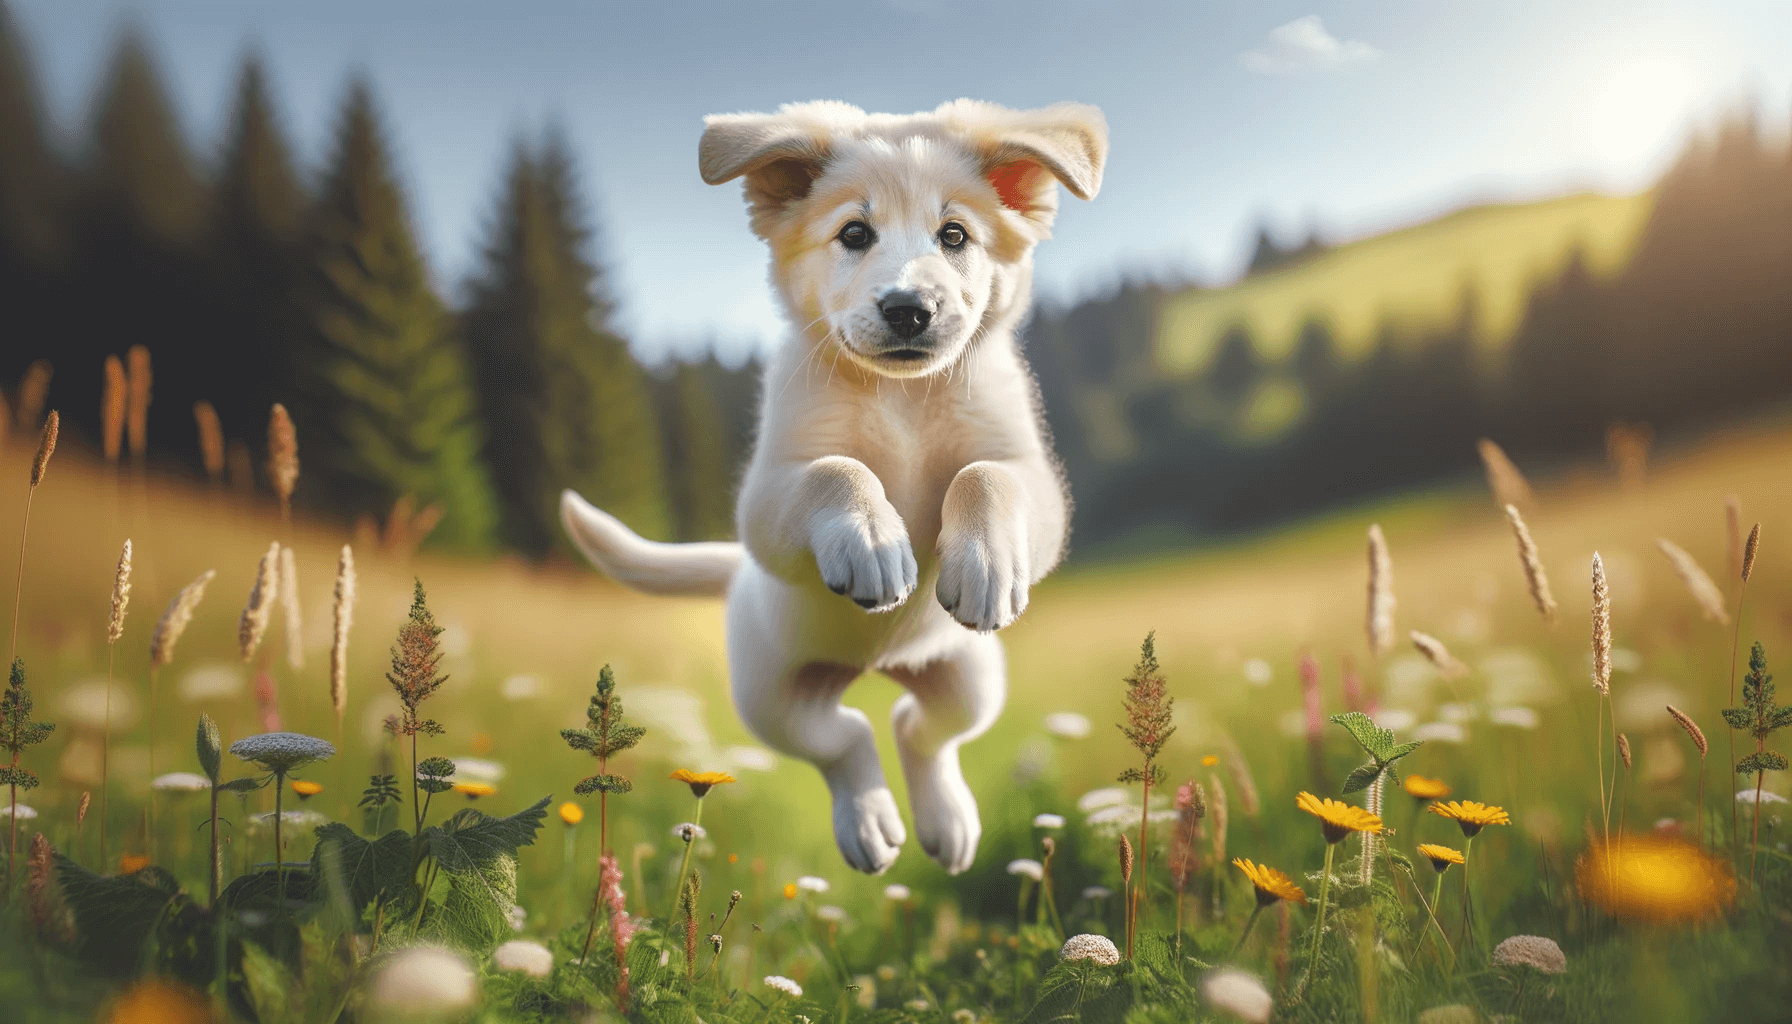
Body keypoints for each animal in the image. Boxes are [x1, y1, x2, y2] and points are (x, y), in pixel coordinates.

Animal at [562, 99, 1103, 878]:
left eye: (955, 235)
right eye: (854, 233)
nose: (908, 309)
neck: (900, 395)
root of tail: (874, 666)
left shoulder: (1034, 479)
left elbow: (985, 474)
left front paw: (983, 562)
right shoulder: (768, 497)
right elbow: (837, 470)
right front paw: (875, 542)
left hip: (969, 677)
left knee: (921, 729)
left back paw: (945, 822)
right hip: (774, 697)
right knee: (844, 739)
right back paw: (870, 823)